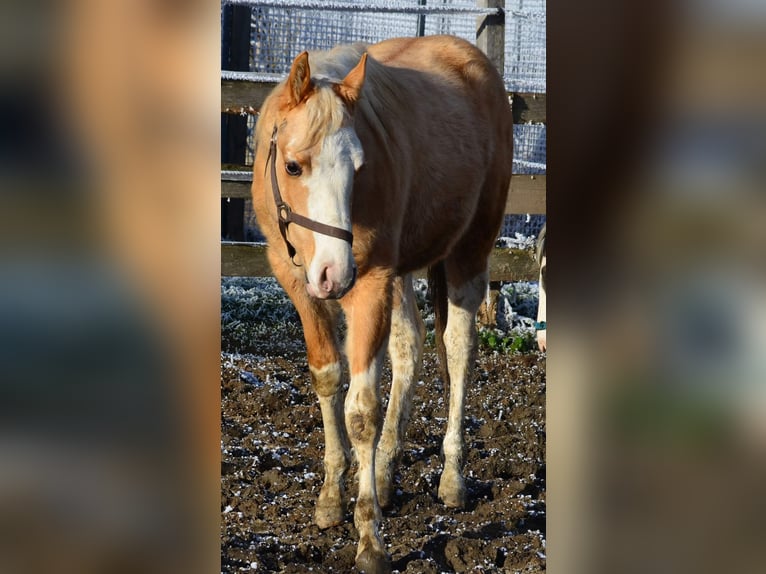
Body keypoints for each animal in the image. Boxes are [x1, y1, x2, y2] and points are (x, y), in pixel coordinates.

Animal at [254, 35, 516, 572]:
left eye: (359, 168)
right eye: (293, 165)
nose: (334, 273)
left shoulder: (371, 282)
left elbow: (362, 411)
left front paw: (369, 539)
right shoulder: (295, 280)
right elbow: (328, 377)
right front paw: (332, 497)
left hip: (469, 251)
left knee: (458, 351)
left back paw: (452, 479)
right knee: (408, 346)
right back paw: (386, 472)